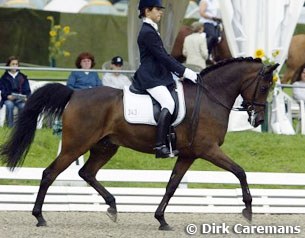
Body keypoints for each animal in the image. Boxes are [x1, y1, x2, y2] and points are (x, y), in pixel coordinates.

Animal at [0, 57, 276, 231]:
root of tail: (75, 93)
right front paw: (248, 210)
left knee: (86, 172)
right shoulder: (208, 149)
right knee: (49, 173)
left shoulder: (188, 154)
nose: (259, 119)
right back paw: (40, 217)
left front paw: (161, 219)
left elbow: (172, 185)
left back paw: (112, 207)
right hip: (75, 145)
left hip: (105, 146)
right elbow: (240, 171)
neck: (210, 97)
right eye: (264, 87)